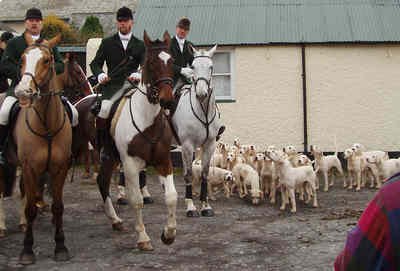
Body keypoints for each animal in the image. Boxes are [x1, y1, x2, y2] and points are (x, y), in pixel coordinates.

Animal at [0, 33, 72, 264]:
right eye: (21, 60)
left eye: (47, 60)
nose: (24, 91)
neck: (47, 125)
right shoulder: (31, 168)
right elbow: (31, 208)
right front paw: (27, 250)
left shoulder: (59, 168)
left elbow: (58, 207)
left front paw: (60, 247)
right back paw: (2, 227)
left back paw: (22, 223)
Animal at [170, 45, 223, 218]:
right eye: (192, 67)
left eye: (211, 67)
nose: (201, 94)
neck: (203, 110)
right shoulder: (187, 146)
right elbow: (188, 174)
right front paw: (191, 207)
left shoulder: (209, 145)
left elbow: (205, 173)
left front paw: (205, 206)